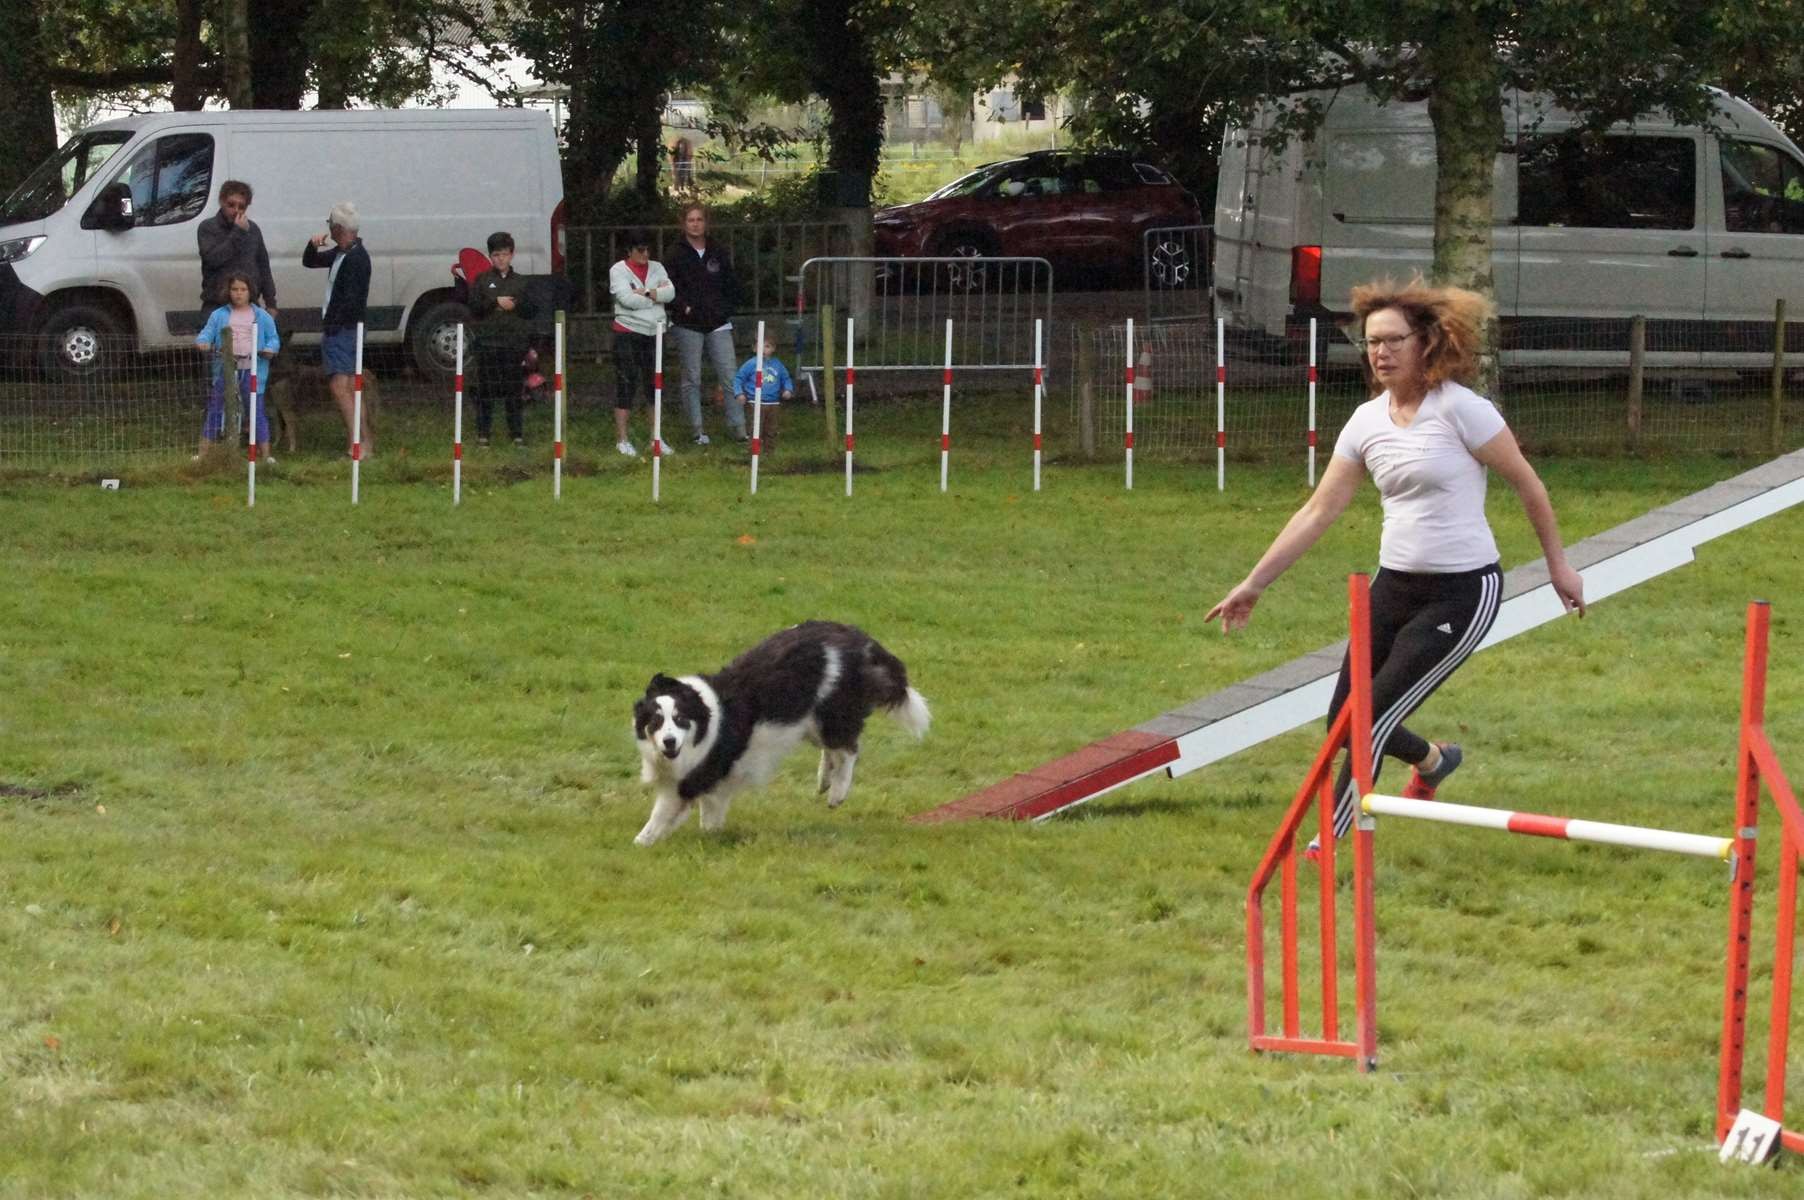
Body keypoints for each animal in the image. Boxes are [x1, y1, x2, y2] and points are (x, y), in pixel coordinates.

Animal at [631, 627, 930, 840]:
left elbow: (659, 819)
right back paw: (824, 779)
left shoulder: (690, 780)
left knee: (849, 749)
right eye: (656, 722)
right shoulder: (712, 780)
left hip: (831, 716)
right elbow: (710, 812)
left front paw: (641, 844)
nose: (669, 741)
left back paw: (837, 792)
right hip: (811, 723)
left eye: (680, 719)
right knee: (833, 750)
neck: (704, 720)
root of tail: (860, 639)